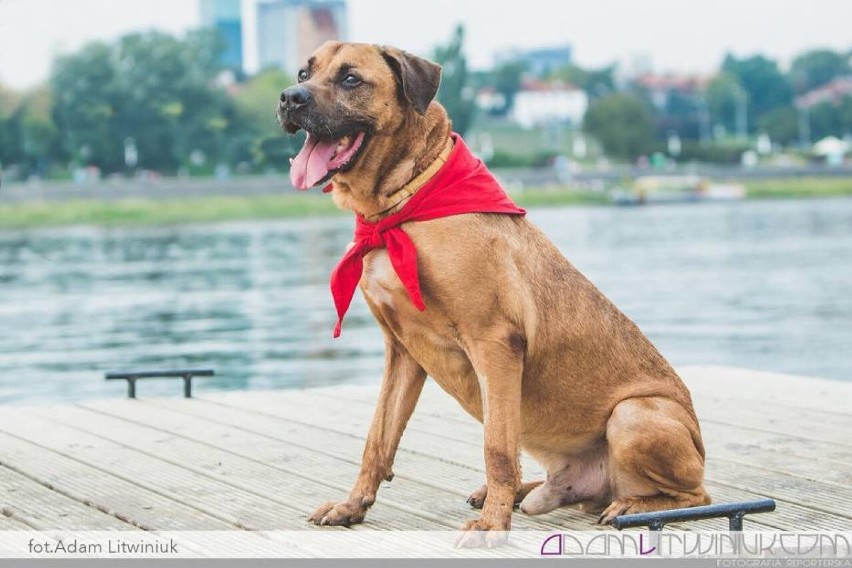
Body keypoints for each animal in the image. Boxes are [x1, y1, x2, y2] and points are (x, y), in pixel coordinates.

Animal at [276, 41, 708, 544]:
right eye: (303, 72)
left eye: (350, 79)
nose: (289, 98)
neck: (401, 206)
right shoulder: (402, 351)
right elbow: (377, 440)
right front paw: (352, 506)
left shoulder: (495, 344)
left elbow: (496, 448)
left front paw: (491, 524)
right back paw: (529, 491)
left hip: (634, 414)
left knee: (695, 495)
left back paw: (628, 505)